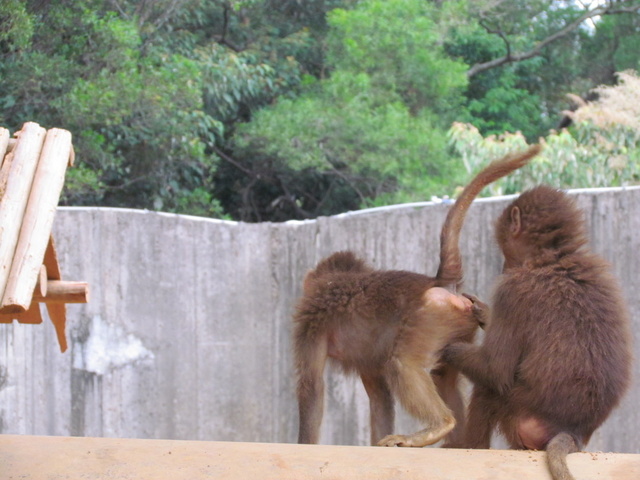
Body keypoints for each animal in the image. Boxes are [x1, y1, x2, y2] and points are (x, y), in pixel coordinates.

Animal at [294, 145, 540, 446]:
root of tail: (434, 282)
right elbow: (379, 395)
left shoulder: (309, 325)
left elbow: (311, 387)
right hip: (457, 322)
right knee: (442, 375)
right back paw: (455, 443)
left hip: (432, 315)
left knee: (403, 365)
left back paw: (439, 426)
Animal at [442, 186, 632, 480]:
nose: (503, 267)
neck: (553, 259)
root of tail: (573, 431)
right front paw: (484, 313)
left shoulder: (512, 292)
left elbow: (495, 368)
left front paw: (449, 348)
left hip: (519, 410)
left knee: (489, 389)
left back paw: (468, 446)